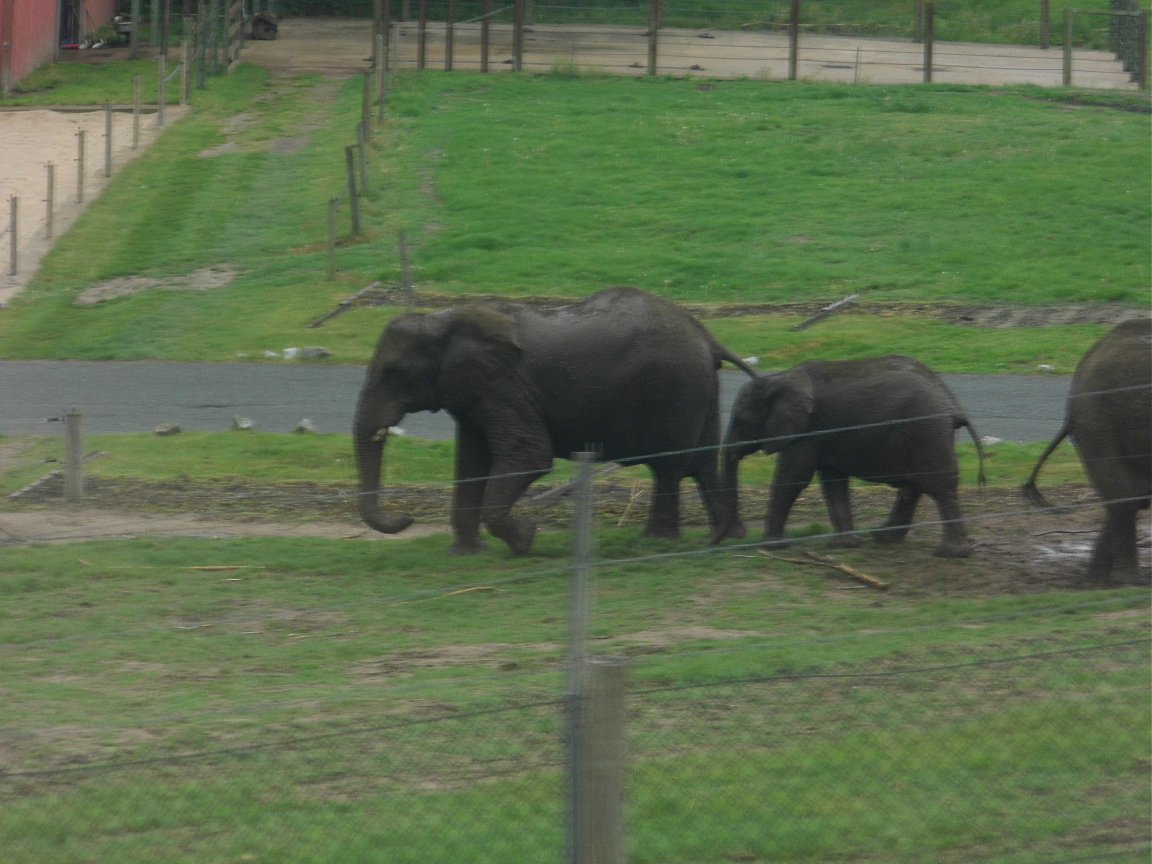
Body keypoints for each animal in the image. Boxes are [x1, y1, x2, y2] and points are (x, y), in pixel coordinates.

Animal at [354, 284, 760, 555]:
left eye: (394, 374)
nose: (407, 519)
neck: (442, 322)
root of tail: (706, 336)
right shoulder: (476, 392)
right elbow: (471, 462)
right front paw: (468, 554)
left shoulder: (505, 387)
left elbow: (529, 455)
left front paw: (526, 539)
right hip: (700, 388)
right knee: (702, 463)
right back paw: (729, 536)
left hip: (673, 387)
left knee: (669, 466)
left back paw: (656, 541)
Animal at [718, 354, 981, 557]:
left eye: (740, 420)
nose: (737, 535)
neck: (778, 378)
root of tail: (952, 403)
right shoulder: (825, 434)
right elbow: (833, 481)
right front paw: (844, 545)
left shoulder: (808, 431)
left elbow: (792, 479)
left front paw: (770, 546)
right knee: (915, 486)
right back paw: (883, 538)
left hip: (927, 430)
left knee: (938, 485)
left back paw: (951, 553)